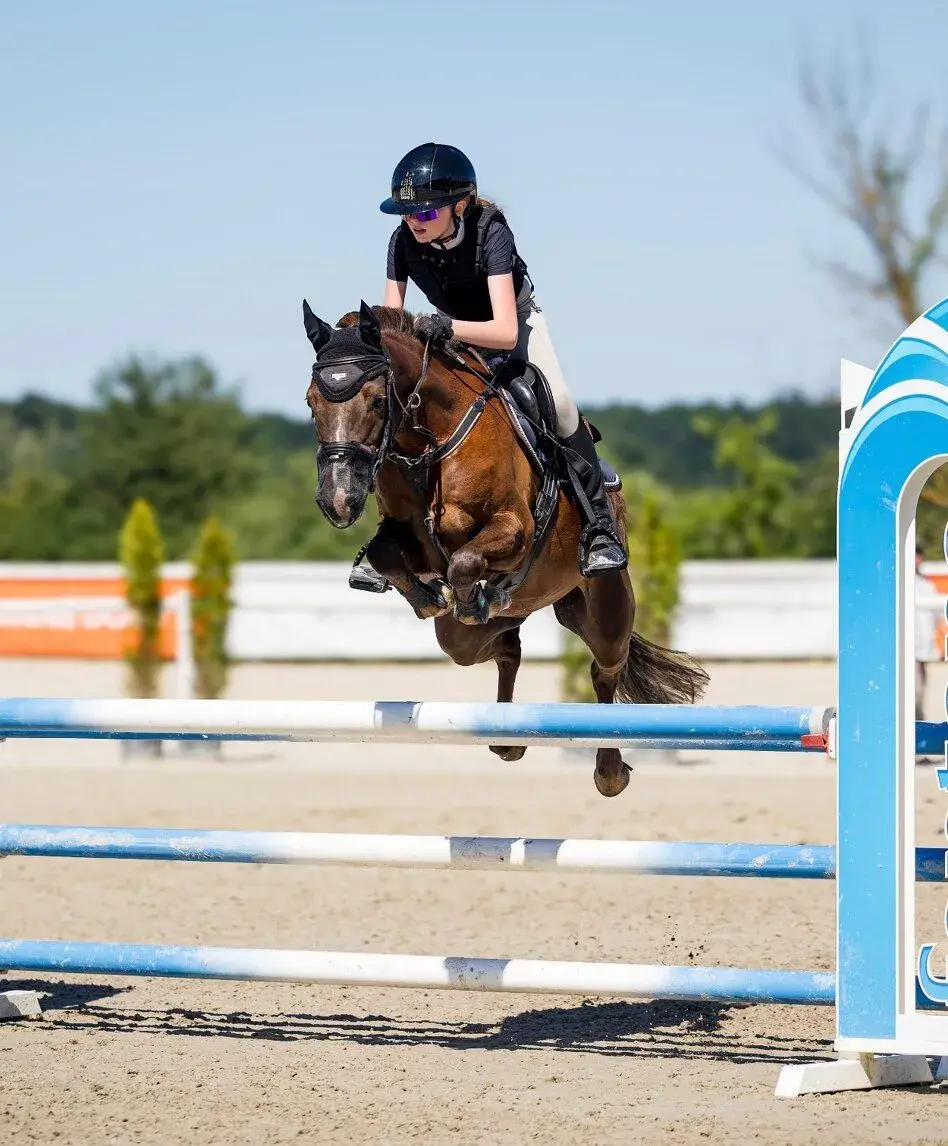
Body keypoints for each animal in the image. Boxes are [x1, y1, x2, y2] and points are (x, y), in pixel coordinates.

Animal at [303, 300, 708, 796]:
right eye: (311, 403)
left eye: (379, 401)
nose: (337, 502)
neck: (428, 440)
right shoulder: (405, 536)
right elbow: (389, 555)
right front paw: (428, 597)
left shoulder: (515, 530)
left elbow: (465, 560)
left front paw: (463, 594)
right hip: (474, 634)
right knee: (505, 647)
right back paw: (506, 725)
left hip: (606, 602)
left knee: (604, 668)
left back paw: (609, 771)